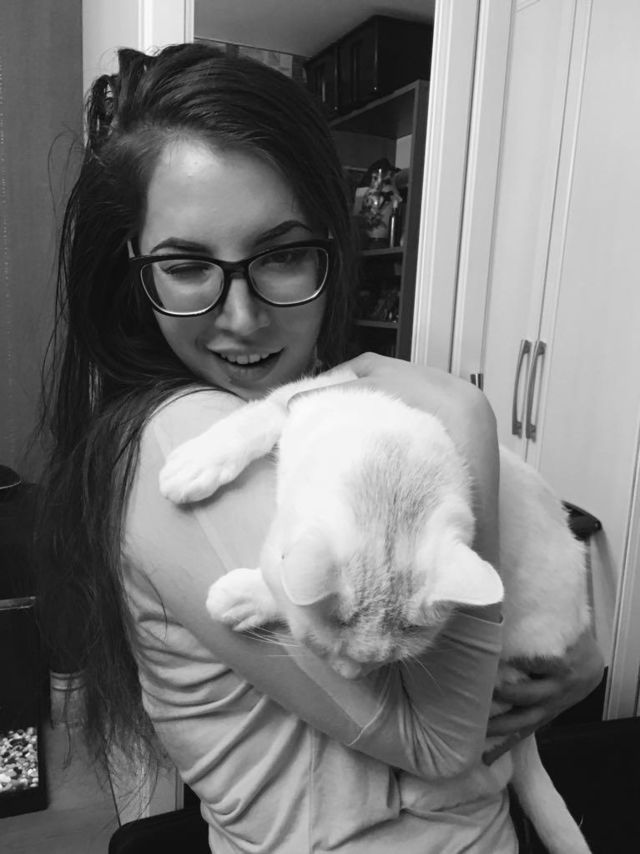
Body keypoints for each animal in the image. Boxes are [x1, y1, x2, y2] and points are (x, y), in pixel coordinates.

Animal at [159, 367, 592, 854]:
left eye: (385, 663)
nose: (350, 677)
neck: (393, 463)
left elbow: (278, 583)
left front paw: (241, 597)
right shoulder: (311, 396)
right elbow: (262, 413)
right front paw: (199, 462)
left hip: (514, 661)